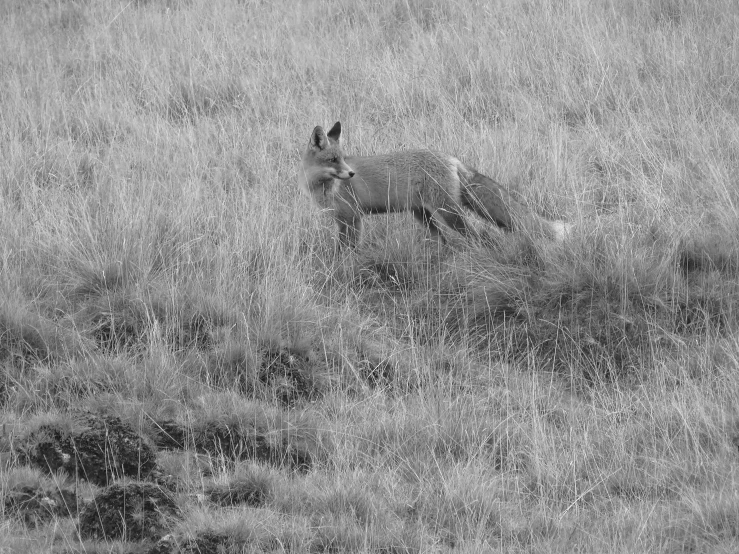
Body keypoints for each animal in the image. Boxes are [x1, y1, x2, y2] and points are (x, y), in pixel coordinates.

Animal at [298, 122, 568, 248]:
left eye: (342, 158)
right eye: (333, 160)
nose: (352, 173)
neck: (323, 188)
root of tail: (451, 158)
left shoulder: (352, 218)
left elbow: (349, 251)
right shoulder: (341, 221)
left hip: (448, 214)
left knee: (479, 235)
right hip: (423, 215)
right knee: (444, 240)